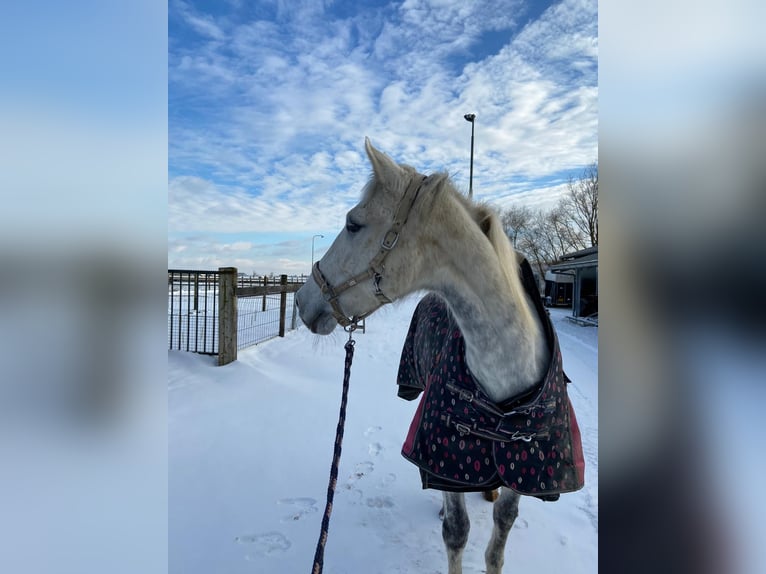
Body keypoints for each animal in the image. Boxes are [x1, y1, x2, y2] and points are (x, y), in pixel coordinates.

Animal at [296, 140, 560, 574]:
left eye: (353, 224)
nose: (302, 300)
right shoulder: (446, 460)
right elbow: (456, 531)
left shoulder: (523, 470)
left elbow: (499, 537)